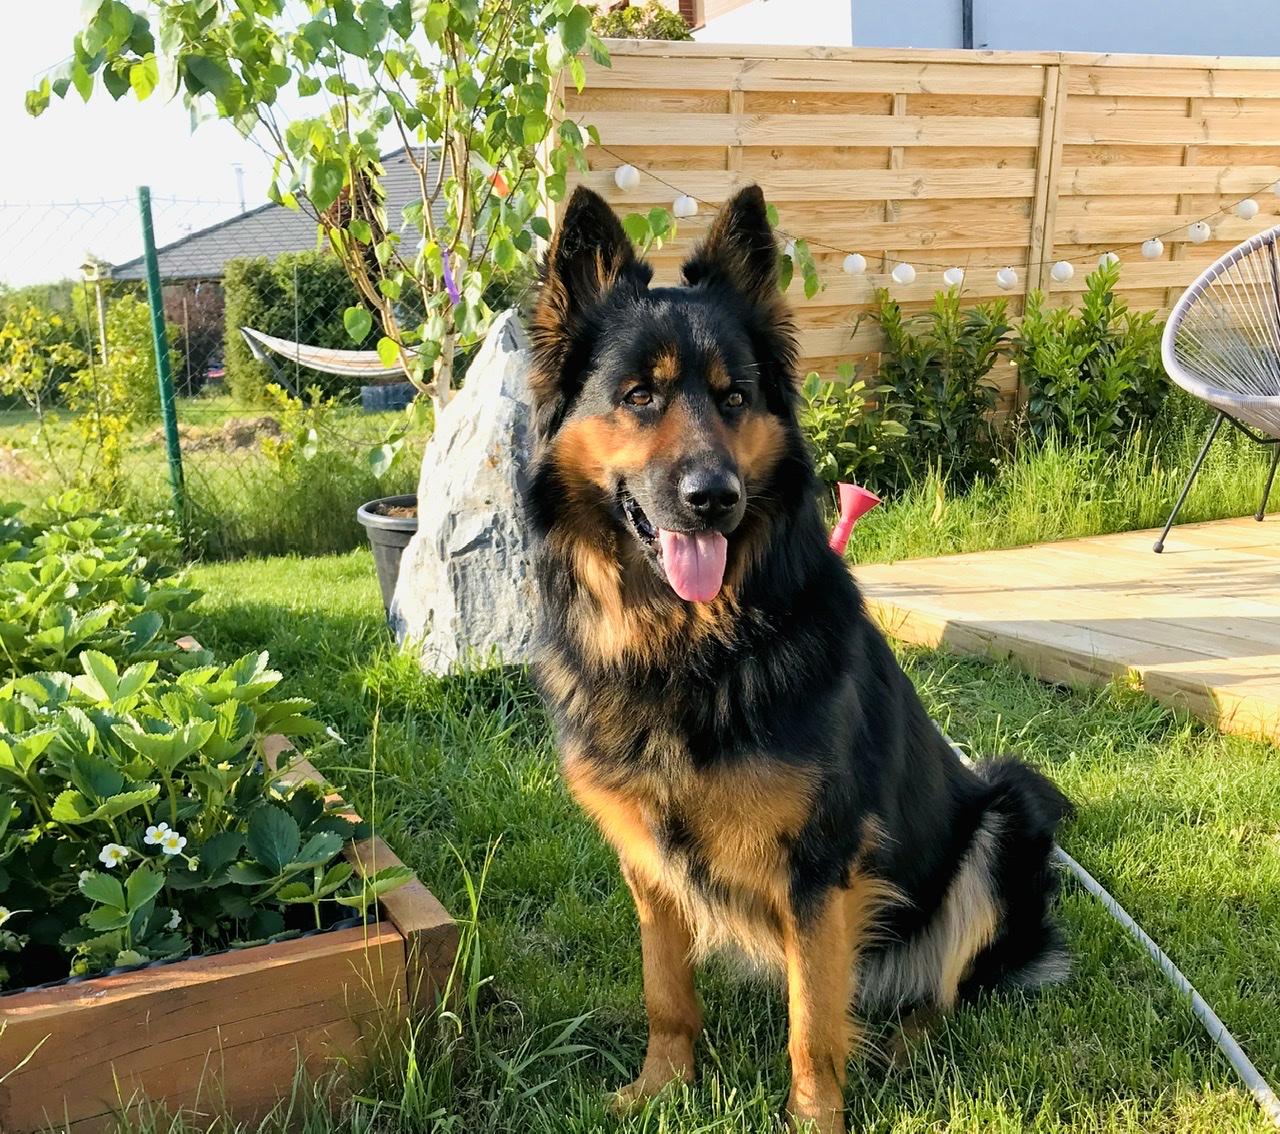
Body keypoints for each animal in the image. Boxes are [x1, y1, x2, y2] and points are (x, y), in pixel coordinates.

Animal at [524, 184, 1073, 1133]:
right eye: (640, 395)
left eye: (734, 396)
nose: (713, 499)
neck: (691, 649)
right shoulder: (650, 868)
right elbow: (667, 992)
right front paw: (662, 1088)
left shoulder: (820, 869)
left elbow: (813, 1023)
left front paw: (815, 1118)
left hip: (1000, 822)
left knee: (949, 987)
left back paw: (905, 1044)